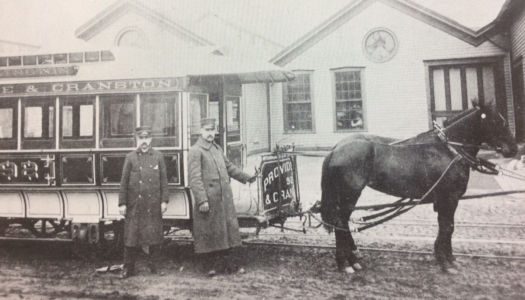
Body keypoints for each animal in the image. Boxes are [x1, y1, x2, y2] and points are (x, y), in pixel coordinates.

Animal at [320, 100, 516, 272]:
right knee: (341, 223)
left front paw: (447, 257)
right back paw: (345, 263)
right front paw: (445, 262)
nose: (513, 148)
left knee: (342, 224)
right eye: (498, 121)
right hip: (349, 194)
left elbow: (447, 226)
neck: (449, 150)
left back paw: (351, 258)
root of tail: (336, 149)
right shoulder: (449, 198)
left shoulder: (445, 200)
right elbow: (447, 227)